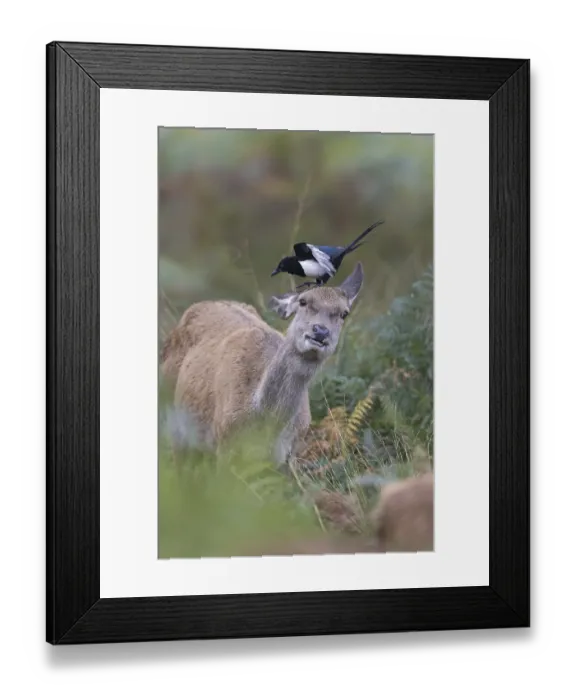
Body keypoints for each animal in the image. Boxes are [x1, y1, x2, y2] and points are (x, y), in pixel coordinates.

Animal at [160, 262, 365, 467]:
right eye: (303, 302)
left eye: (344, 313)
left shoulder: (290, 453)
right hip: (173, 414)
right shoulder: (224, 438)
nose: (320, 331)